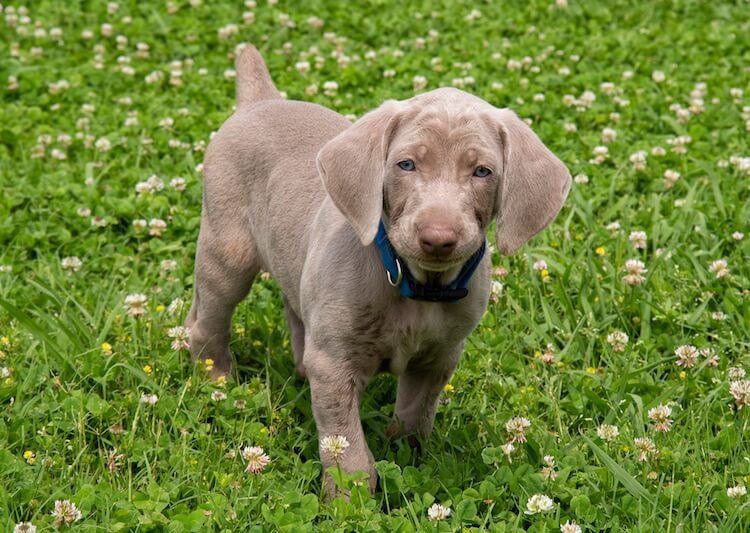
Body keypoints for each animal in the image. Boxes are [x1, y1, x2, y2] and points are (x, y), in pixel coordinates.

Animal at [185, 44, 572, 494]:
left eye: (482, 172)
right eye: (406, 165)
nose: (438, 237)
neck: (418, 286)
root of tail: (261, 101)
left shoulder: (440, 357)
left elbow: (415, 417)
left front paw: (407, 456)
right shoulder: (334, 364)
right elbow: (346, 447)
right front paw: (348, 499)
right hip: (227, 251)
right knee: (207, 321)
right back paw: (217, 381)